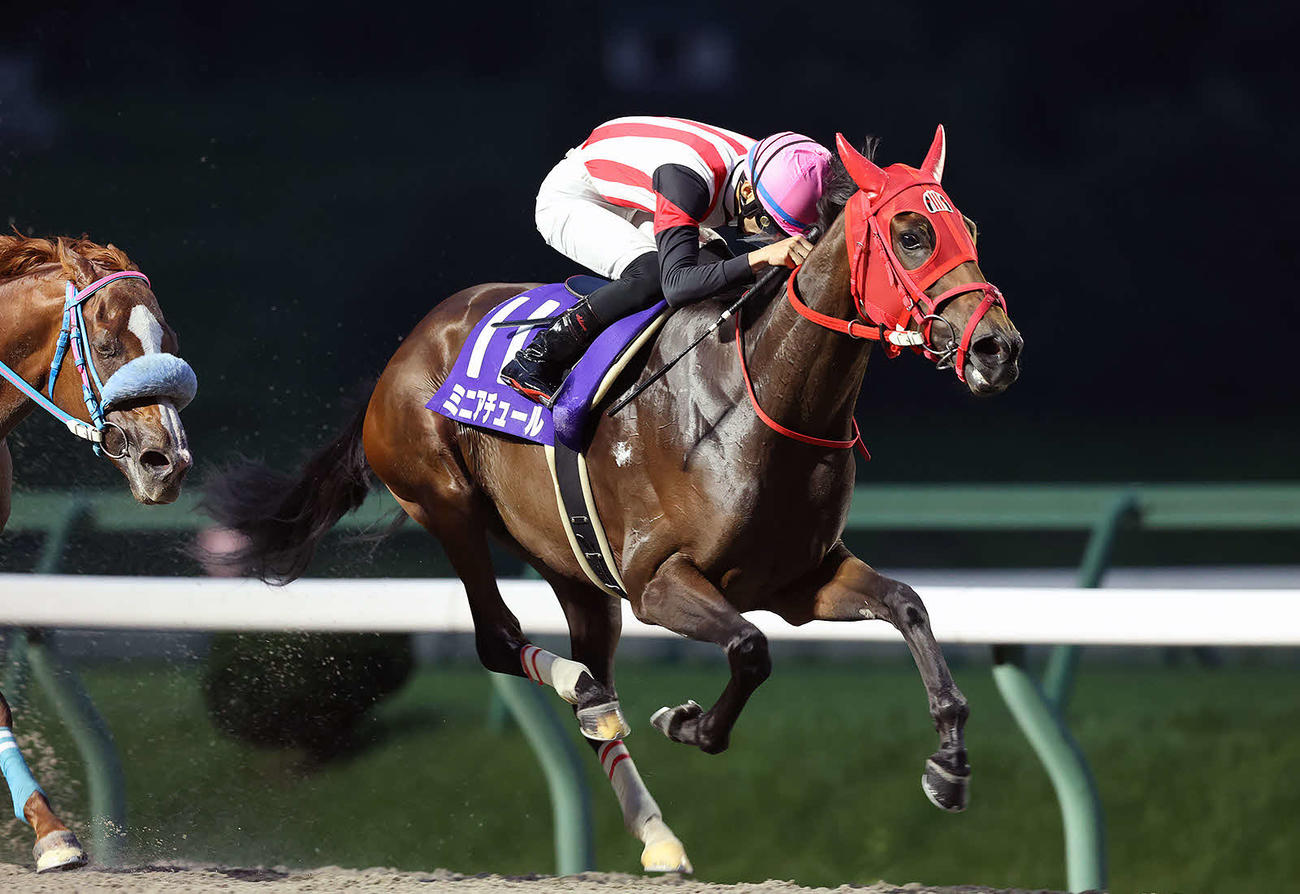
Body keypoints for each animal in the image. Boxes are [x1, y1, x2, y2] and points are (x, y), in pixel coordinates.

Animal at [207, 127, 1022, 873]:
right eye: (912, 235)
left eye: (970, 231)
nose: (999, 349)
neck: (757, 397)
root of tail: (404, 349)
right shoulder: (657, 582)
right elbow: (750, 650)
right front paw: (687, 721)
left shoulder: (799, 581)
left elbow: (907, 606)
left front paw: (950, 766)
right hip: (446, 503)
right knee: (502, 639)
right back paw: (584, 690)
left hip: (569, 559)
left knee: (585, 654)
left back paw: (654, 828)